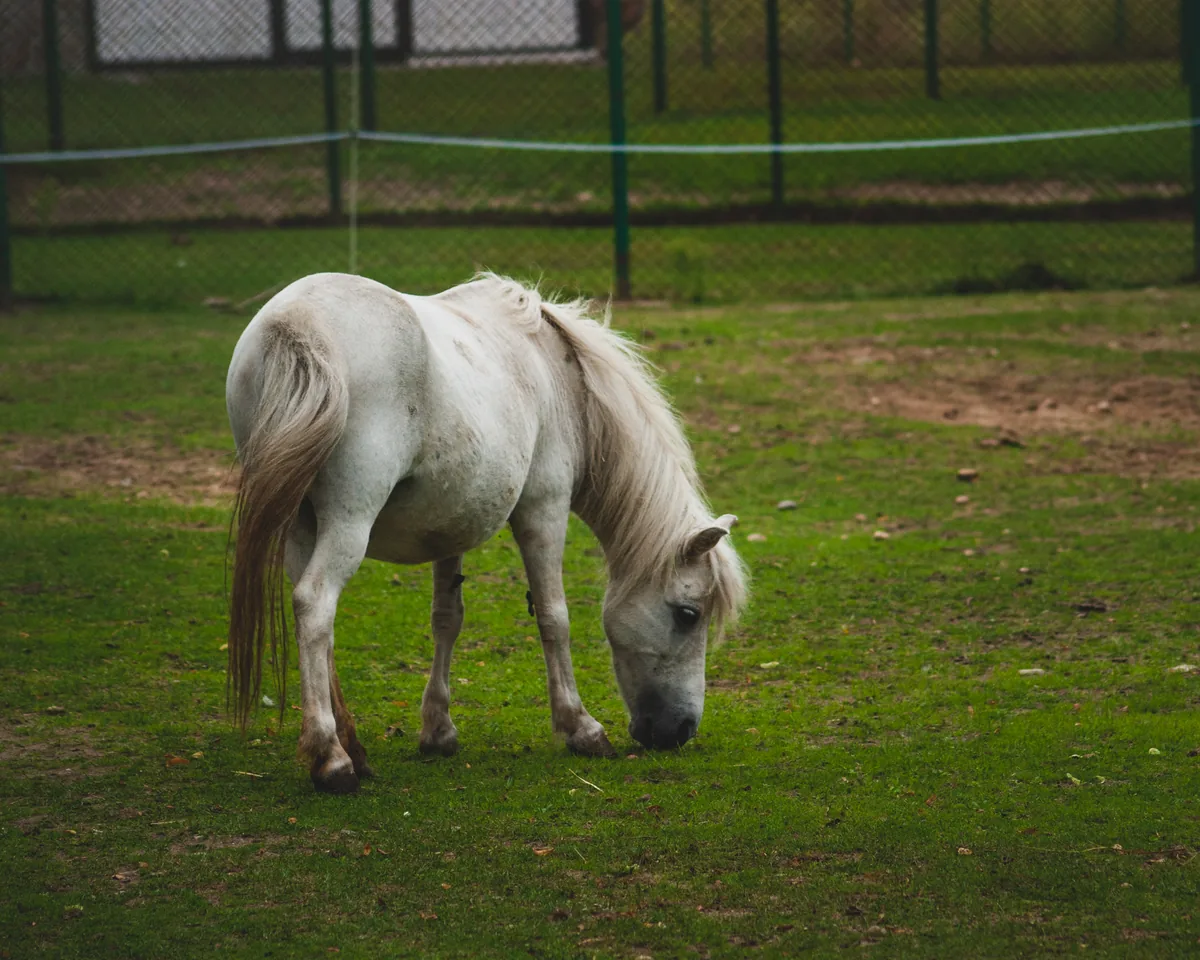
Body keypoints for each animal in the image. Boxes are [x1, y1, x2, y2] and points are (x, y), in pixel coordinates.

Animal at [225, 272, 747, 793]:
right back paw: (332, 759)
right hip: (348, 522)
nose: (681, 730)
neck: (561, 381)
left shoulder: (446, 528)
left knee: (316, 619)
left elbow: (447, 618)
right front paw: (581, 728)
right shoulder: (543, 508)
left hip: (301, 527)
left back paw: (353, 747)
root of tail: (296, 325)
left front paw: (438, 731)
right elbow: (554, 618)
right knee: (314, 605)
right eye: (688, 614)